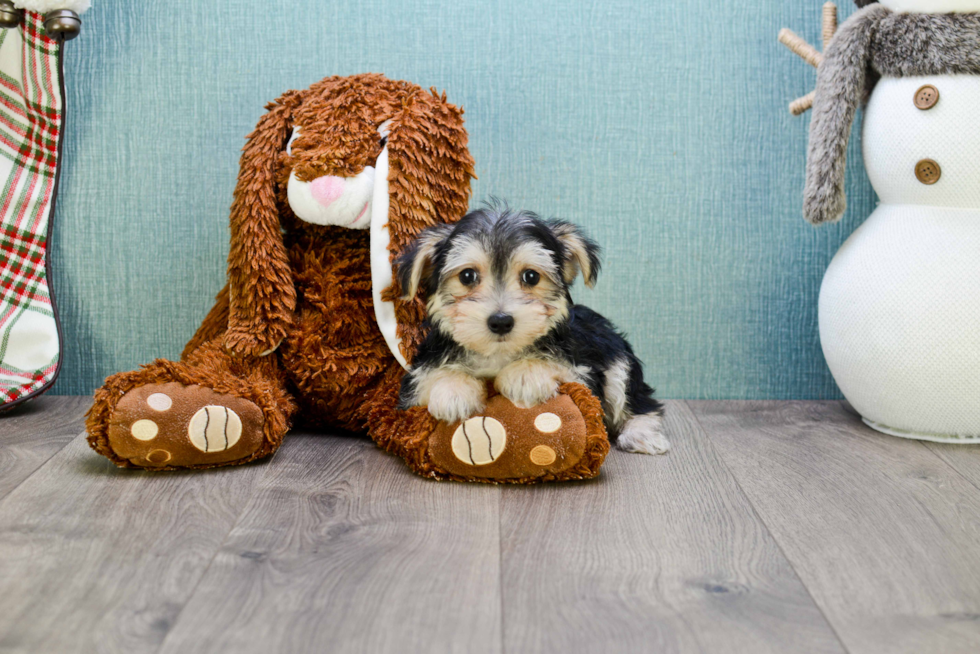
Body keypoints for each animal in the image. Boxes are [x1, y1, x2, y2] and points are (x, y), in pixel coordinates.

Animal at [394, 204, 668, 456]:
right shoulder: (414, 383)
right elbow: (427, 379)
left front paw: (525, 374)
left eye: (531, 277)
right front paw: (453, 389)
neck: (498, 354)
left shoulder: (582, 370)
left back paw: (641, 433)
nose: (501, 321)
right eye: (467, 276)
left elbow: (561, 367)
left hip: (616, 354)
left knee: (638, 399)